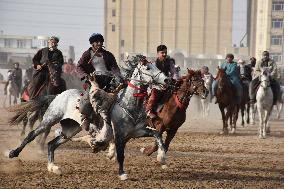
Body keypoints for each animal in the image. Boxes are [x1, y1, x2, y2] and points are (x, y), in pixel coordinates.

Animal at [7, 54, 169, 180]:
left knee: (51, 144)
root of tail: (58, 95)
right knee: (32, 134)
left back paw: (53, 167)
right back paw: (13, 152)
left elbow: (157, 134)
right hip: (49, 119)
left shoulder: (137, 132)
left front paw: (162, 158)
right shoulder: (119, 135)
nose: (167, 80)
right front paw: (122, 173)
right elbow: (121, 154)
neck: (128, 105)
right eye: (148, 68)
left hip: (70, 129)